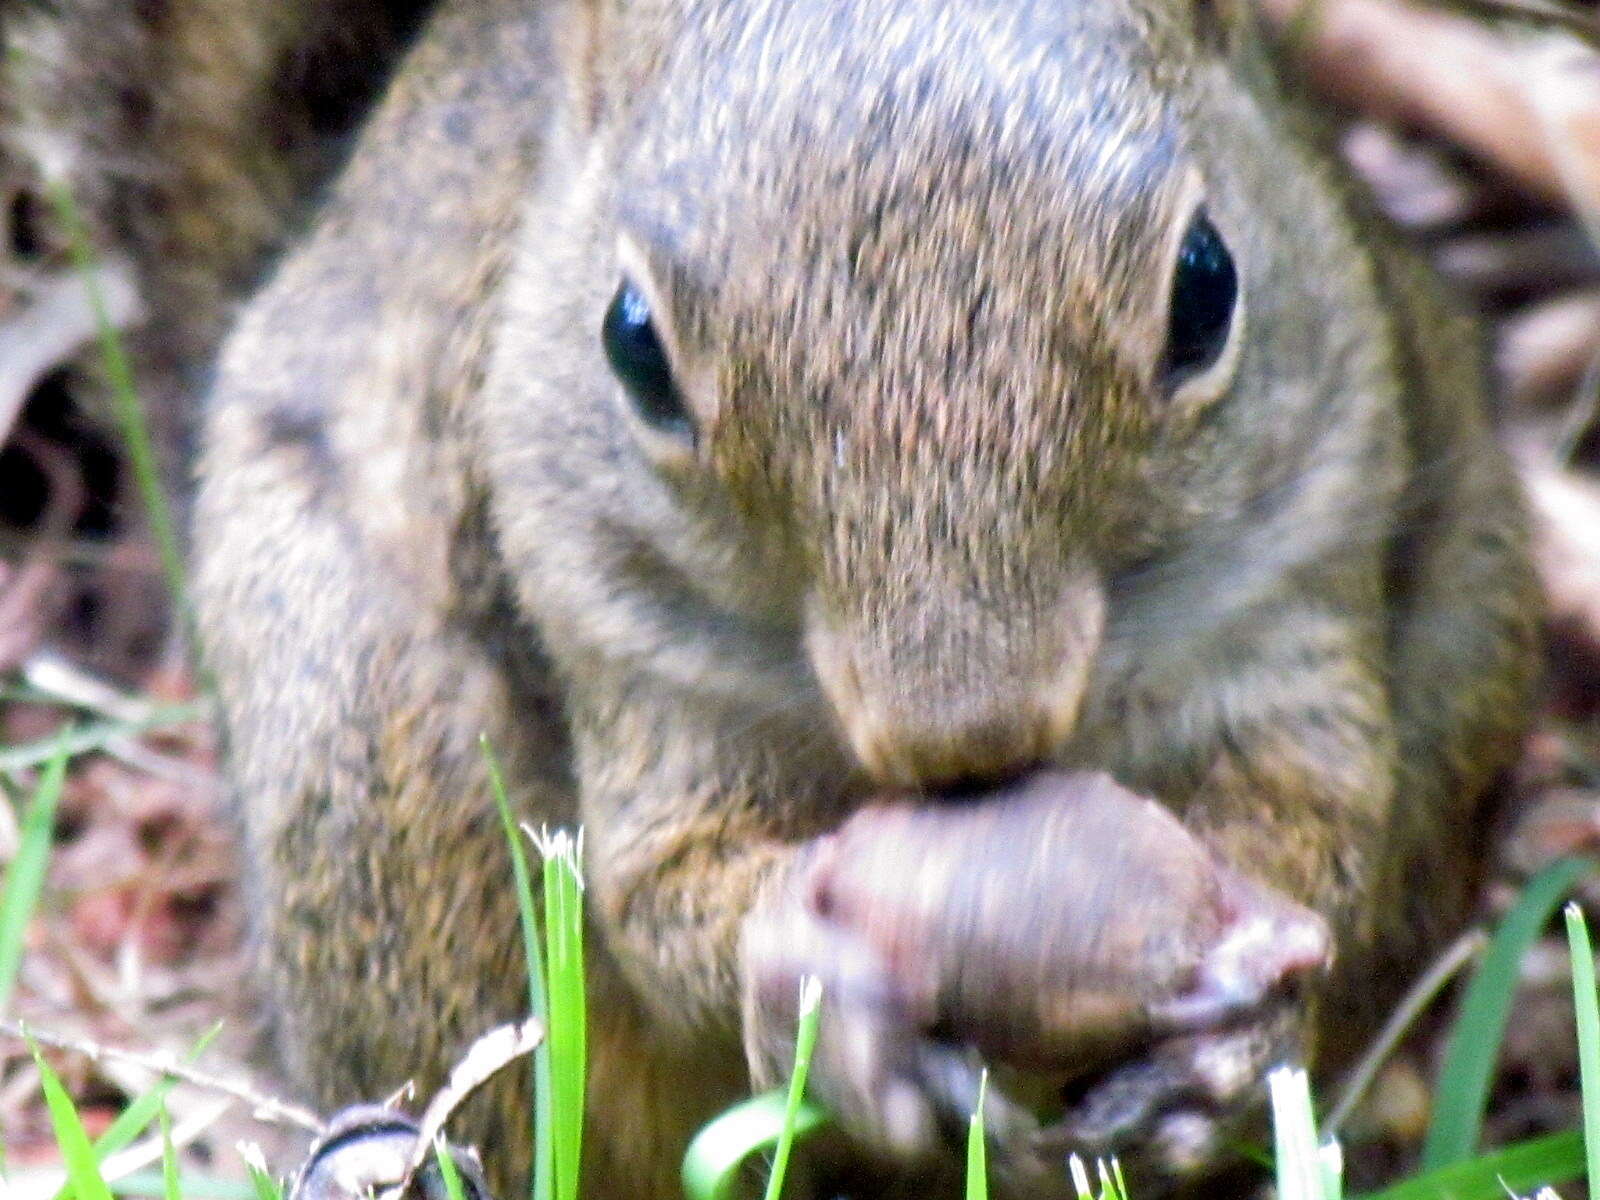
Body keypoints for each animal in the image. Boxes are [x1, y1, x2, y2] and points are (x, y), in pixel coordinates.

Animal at [187, 0, 1536, 1196]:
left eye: (1206, 288)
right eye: (632, 346)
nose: (963, 733)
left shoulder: (1299, 574)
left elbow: (1317, 805)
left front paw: (1242, 1035)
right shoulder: (628, 658)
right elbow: (657, 890)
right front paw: (809, 967)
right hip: (379, 788)